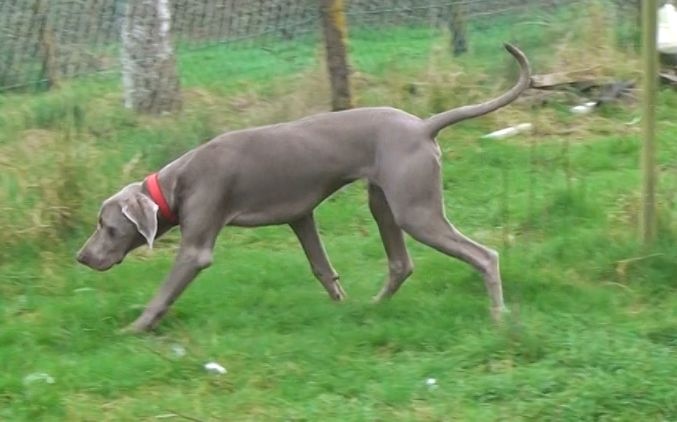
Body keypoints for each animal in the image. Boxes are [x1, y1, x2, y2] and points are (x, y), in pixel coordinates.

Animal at [76, 43, 532, 332]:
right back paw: (372, 309)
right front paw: (339, 302)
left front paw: (133, 329)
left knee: (484, 255)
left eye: (106, 226)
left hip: (415, 209)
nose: (80, 257)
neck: (175, 182)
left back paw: (497, 316)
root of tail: (422, 125)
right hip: (383, 201)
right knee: (402, 263)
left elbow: (165, 291)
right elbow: (321, 266)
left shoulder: (196, 248)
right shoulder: (301, 217)